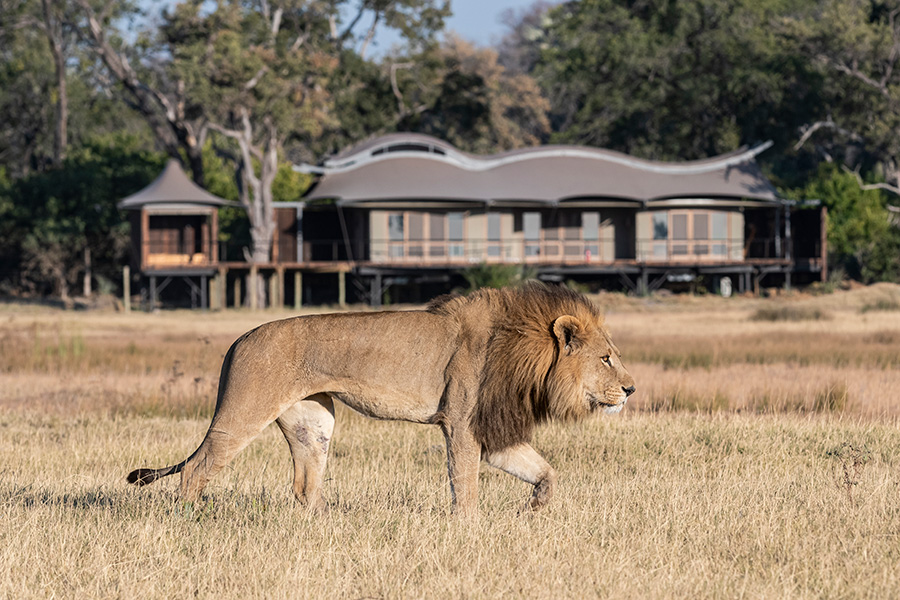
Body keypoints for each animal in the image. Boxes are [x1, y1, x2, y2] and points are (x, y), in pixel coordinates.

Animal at [126, 282, 636, 516]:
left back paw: (326, 524)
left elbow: (546, 471)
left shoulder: (493, 432)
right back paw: (190, 519)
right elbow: (465, 486)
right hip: (244, 412)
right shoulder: (462, 425)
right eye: (607, 358)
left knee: (304, 486)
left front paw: (534, 510)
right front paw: (469, 529)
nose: (631, 390)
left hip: (315, 422)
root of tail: (238, 339)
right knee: (195, 469)